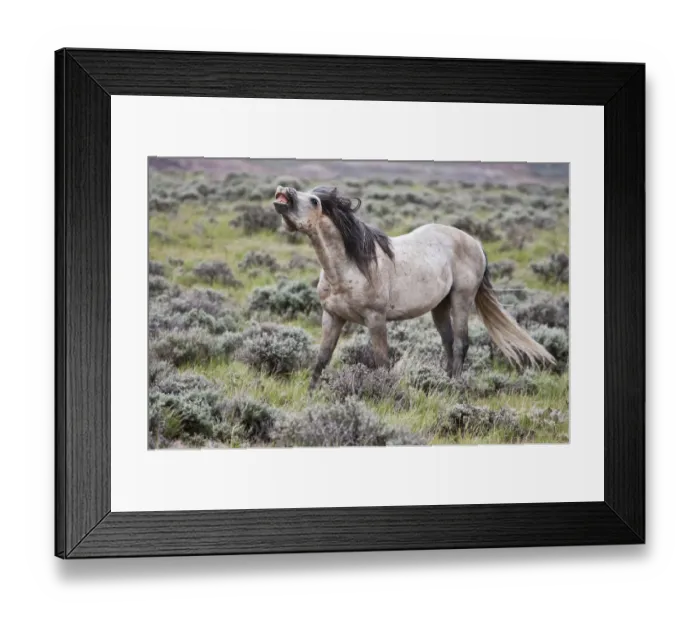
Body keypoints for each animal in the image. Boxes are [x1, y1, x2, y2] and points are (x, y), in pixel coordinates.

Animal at [273, 185, 555, 390]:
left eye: (314, 201)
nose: (284, 191)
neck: (350, 266)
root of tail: (474, 241)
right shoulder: (332, 316)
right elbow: (322, 358)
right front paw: (311, 393)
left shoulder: (376, 319)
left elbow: (382, 361)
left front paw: (384, 394)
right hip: (439, 306)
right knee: (448, 343)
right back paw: (443, 383)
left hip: (461, 299)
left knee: (461, 343)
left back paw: (454, 388)